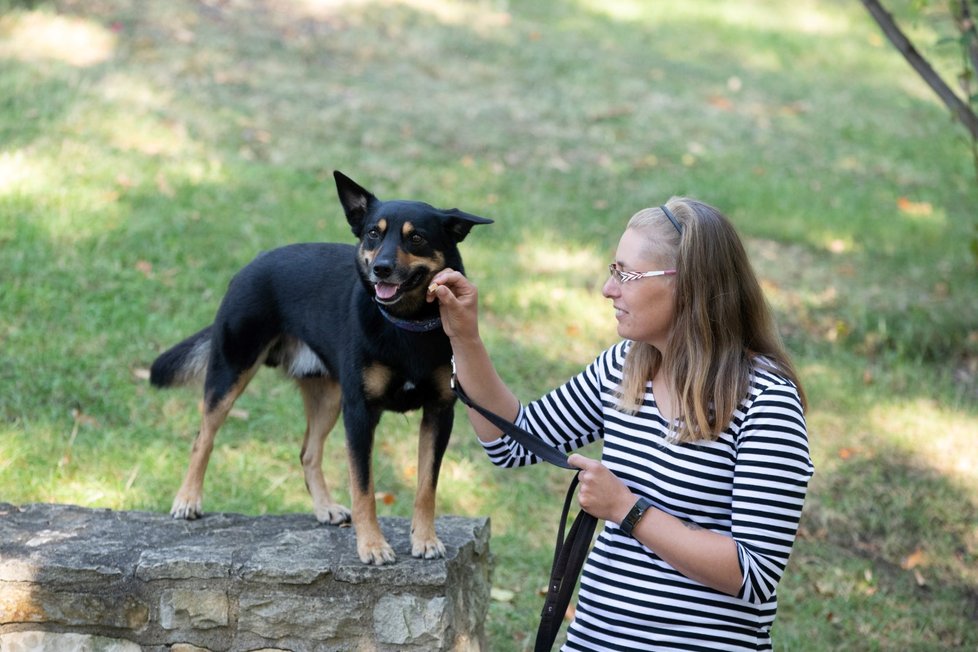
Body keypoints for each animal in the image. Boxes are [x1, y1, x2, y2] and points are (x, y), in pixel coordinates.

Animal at [149, 171, 492, 564]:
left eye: (416, 237)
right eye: (373, 233)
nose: (381, 269)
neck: (405, 323)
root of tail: (253, 264)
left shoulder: (439, 412)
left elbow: (426, 486)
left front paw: (424, 538)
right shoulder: (359, 412)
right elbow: (364, 487)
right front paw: (372, 545)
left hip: (329, 396)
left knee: (308, 453)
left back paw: (325, 507)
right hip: (231, 371)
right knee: (202, 438)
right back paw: (187, 499)